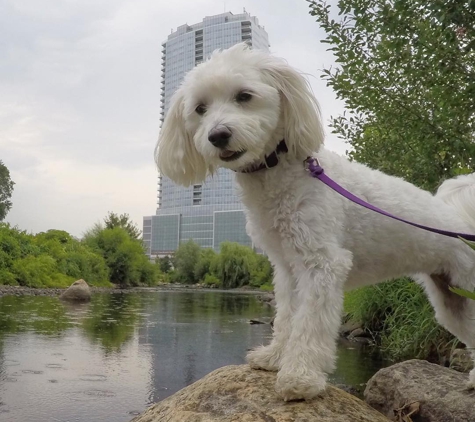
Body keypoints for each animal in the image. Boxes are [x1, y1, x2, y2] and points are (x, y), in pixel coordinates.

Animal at [156, 44, 475, 400]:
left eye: (244, 96)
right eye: (200, 108)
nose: (218, 135)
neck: (280, 168)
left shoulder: (321, 263)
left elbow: (309, 324)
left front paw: (300, 377)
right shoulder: (287, 268)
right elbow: (286, 317)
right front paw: (273, 357)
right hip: (452, 300)